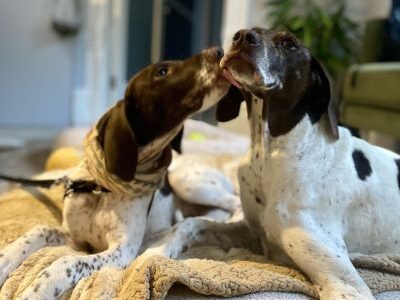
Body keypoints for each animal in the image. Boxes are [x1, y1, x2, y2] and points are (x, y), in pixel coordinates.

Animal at [0, 47, 231, 300]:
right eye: (162, 71)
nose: (219, 51)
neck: (101, 189)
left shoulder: (121, 251)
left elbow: (66, 262)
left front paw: (38, 290)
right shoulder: (75, 238)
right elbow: (38, 230)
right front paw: (4, 259)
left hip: (187, 182)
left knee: (233, 204)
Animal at [141, 27, 400, 298]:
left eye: (289, 43)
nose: (240, 37)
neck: (269, 154)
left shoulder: (346, 284)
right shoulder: (252, 232)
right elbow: (190, 224)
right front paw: (153, 253)